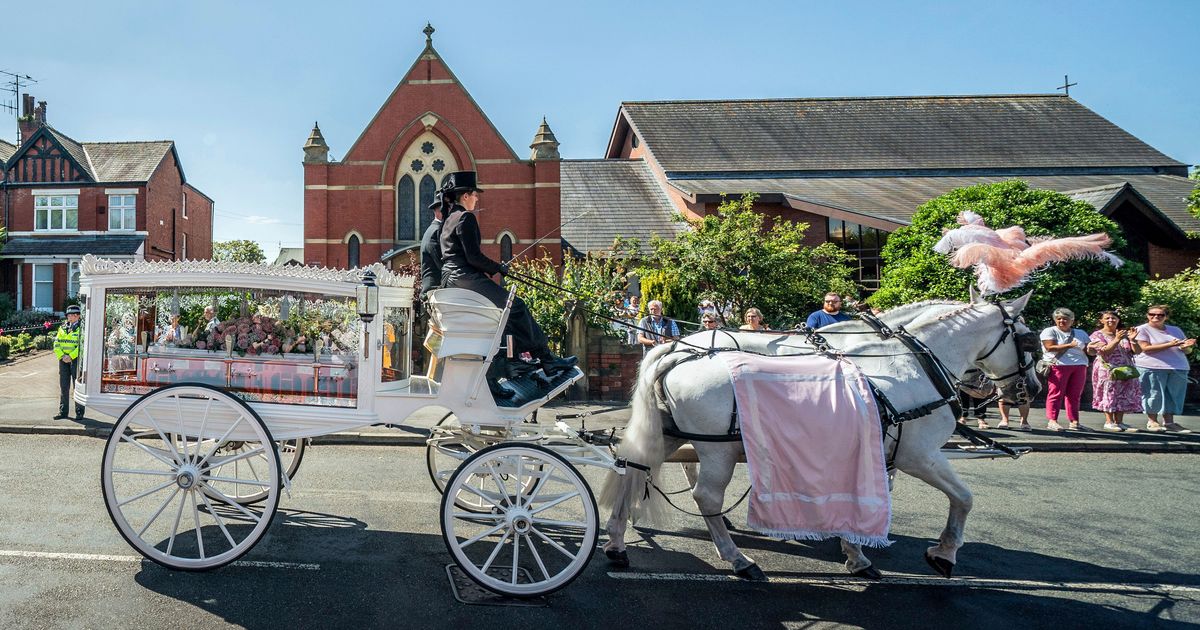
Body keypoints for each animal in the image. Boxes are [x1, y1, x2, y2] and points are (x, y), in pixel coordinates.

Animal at [600, 292, 1041, 583]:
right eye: (1028, 339)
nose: (1031, 389)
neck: (908, 361)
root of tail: (677, 351)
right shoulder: (918, 453)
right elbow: (963, 497)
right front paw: (943, 554)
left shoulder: (868, 447)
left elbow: (864, 491)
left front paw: (855, 547)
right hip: (717, 447)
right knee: (704, 494)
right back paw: (738, 558)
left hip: (669, 432)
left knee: (633, 468)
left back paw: (617, 543)